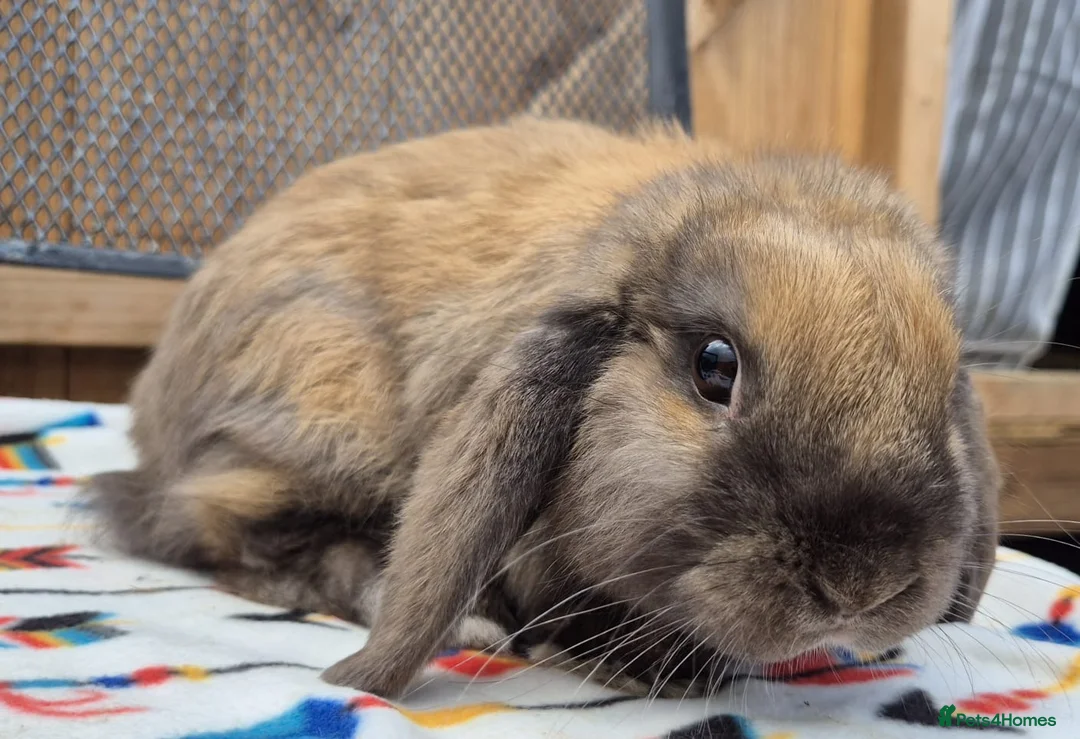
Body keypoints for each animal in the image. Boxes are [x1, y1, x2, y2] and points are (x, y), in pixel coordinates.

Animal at [85, 116, 1000, 700]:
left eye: (942, 384)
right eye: (715, 366)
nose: (862, 586)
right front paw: (633, 665)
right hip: (313, 418)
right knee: (230, 535)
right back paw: (468, 624)